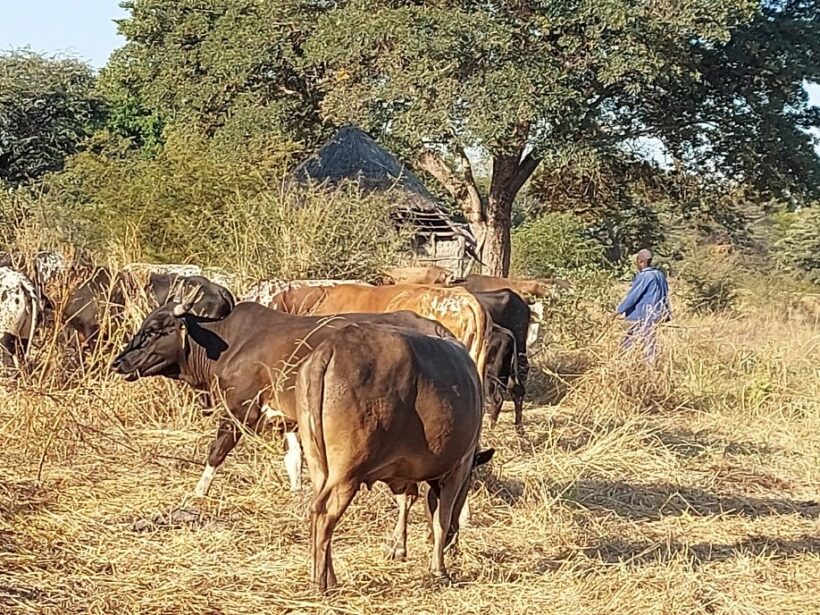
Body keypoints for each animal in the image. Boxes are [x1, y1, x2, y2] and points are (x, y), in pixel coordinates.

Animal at [111, 296, 459, 497]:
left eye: (155, 329)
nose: (118, 362)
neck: (231, 342)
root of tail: (437, 329)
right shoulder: (289, 419)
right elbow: (293, 460)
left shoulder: (241, 409)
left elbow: (217, 451)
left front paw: (197, 493)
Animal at [296, 323, 485, 591]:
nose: (455, 546)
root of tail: (330, 348)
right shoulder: (458, 469)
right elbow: (442, 518)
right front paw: (439, 570)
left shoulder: (405, 474)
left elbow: (409, 501)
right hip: (347, 473)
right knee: (323, 514)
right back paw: (322, 583)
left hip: (319, 467)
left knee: (318, 514)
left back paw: (327, 577)